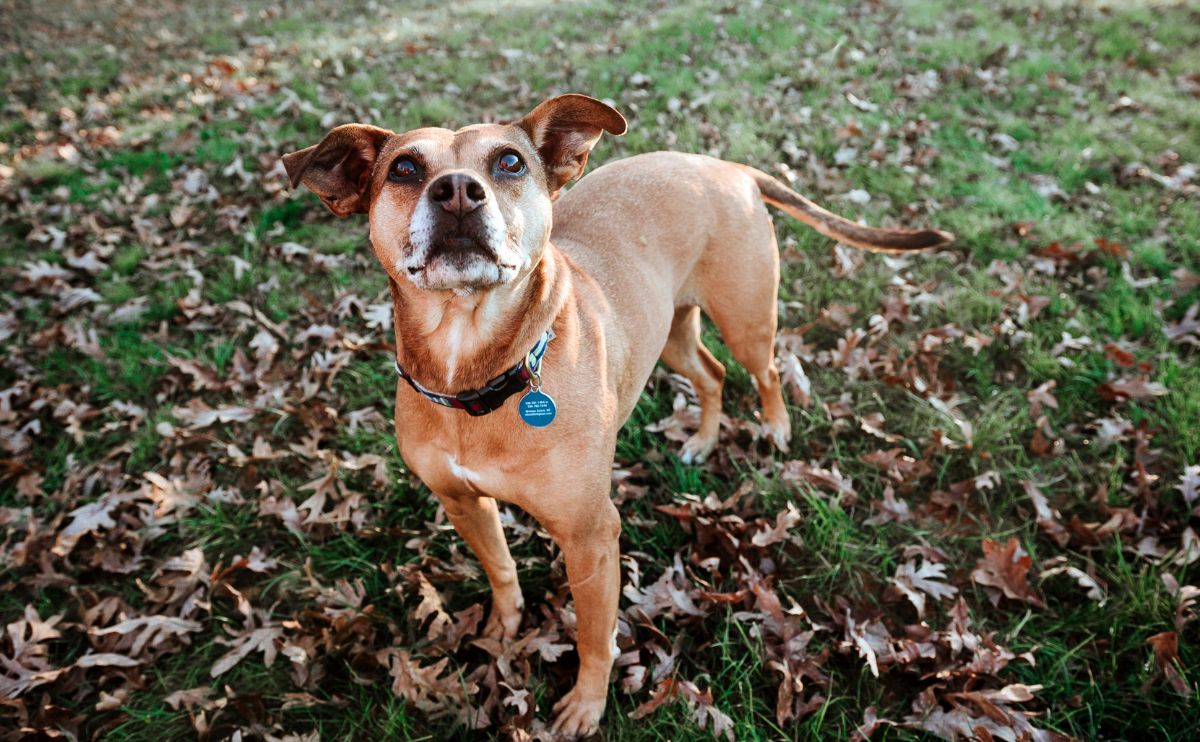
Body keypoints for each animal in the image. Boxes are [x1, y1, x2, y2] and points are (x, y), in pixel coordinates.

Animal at [283, 93, 955, 734]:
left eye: (509, 162)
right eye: (404, 168)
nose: (455, 191)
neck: (475, 369)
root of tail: (727, 166)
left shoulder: (591, 537)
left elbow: (593, 636)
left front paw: (587, 704)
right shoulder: (461, 501)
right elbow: (500, 566)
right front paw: (504, 625)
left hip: (747, 318)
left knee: (763, 371)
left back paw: (775, 426)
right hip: (671, 331)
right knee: (711, 374)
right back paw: (702, 440)